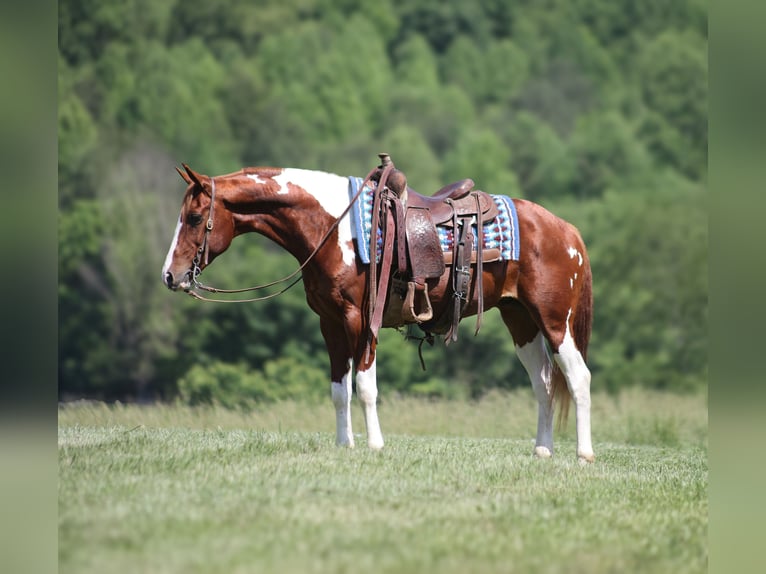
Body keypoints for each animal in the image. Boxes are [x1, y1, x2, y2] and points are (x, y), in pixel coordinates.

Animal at [162, 163, 595, 462]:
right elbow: (339, 390)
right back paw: (542, 450)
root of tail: (567, 230)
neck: (333, 229)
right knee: (543, 382)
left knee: (578, 378)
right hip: (520, 320)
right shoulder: (330, 324)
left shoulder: (360, 320)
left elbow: (365, 386)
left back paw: (584, 454)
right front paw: (344, 445)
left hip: (556, 322)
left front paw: (374, 445)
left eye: (195, 218)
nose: (170, 275)